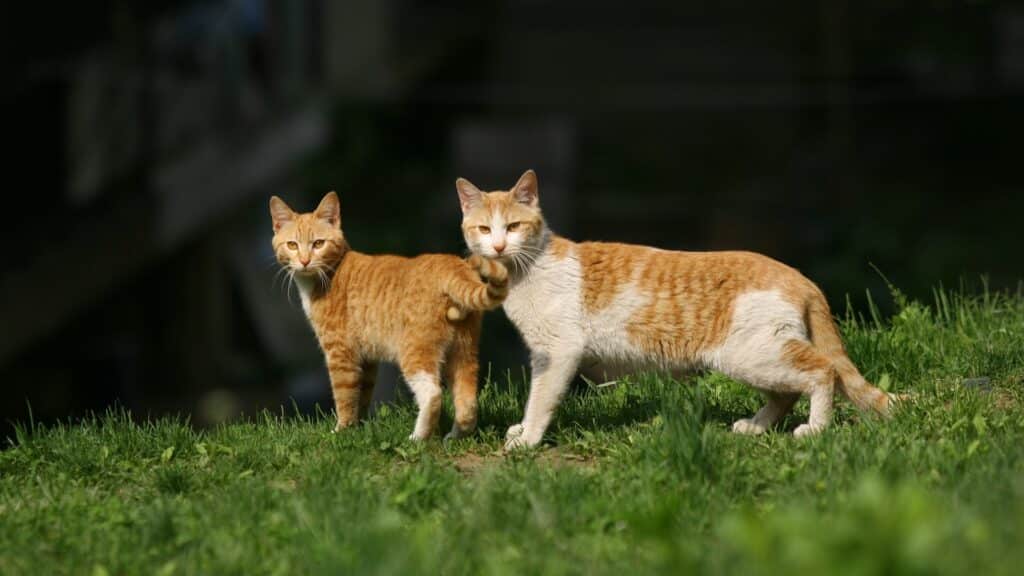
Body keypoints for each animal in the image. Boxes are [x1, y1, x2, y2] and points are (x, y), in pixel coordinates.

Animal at [270, 190, 505, 436]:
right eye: (292, 245)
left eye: (318, 243)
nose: (304, 261)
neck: (328, 274)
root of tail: (452, 265)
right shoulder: (367, 358)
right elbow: (362, 395)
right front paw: (359, 427)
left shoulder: (340, 354)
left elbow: (344, 397)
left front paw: (342, 431)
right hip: (463, 352)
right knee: (467, 402)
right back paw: (455, 436)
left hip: (414, 351)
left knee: (432, 393)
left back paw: (418, 437)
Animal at [456, 170, 897, 448]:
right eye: (484, 229)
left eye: (514, 226)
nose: (498, 246)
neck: (529, 267)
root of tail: (800, 277)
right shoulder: (545, 353)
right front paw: (522, 432)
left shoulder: (557, 353)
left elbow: (540, 398)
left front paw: (529, 438)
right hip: (753, 358)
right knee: (788, 392)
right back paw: (755, 426)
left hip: (752, 354)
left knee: (822, 372)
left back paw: (816, 428)